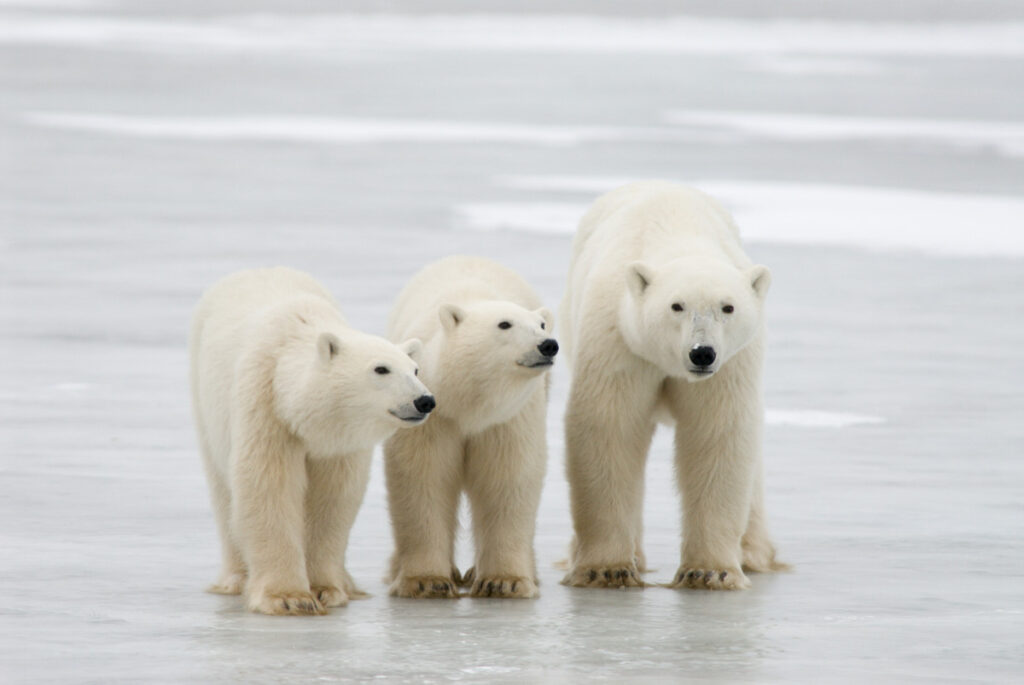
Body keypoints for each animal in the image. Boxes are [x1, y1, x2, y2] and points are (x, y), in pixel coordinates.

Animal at [190, 266, 434, 614]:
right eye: (381, 369)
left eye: (415, 369)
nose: (425, 401)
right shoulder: (266, 408)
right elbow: (269, 487)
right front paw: (288, 597)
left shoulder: (338, 442)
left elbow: (334, 498)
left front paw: (324, 589)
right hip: (205, 398)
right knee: (223, 491)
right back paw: (235, 579)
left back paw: (349, 584)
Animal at [385, 255, 561, 597]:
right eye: (504, 324)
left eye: (541, 325)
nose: (548, 345)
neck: (468, 404)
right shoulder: (434, 418)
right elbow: (423, 476)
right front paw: (427, 581)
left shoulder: (507, 419)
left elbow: (507, 478)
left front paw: (504, 581)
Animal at [561, 181, 782, 589]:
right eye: (676, 306)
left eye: (728, 307)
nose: (702, 353)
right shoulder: (620, 339)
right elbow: (610, 427)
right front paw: (607, 568)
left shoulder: (730, 365)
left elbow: (716, 434)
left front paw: (711, 571)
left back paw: (753, 554)